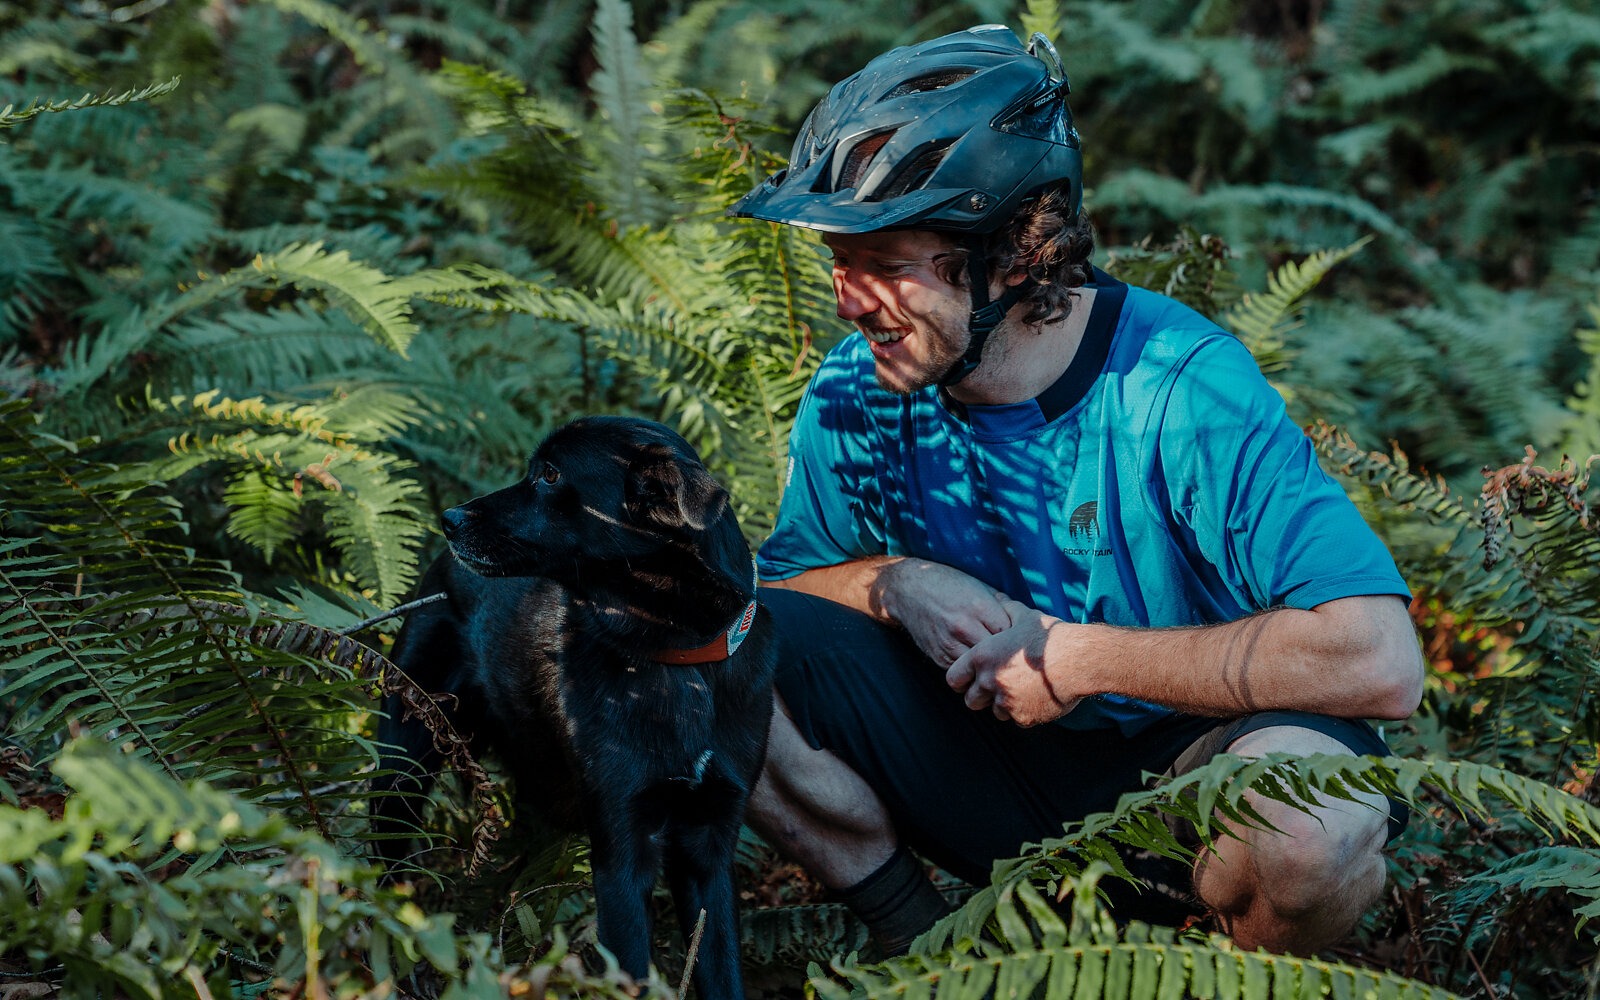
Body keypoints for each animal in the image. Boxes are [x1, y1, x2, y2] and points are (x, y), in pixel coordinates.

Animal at [374, 412, 774, 998]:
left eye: (550, 474)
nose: (448, 518)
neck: (677, 656)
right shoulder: (622, 854)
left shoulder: (710, 847)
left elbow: (720, 971)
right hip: (402, 764)